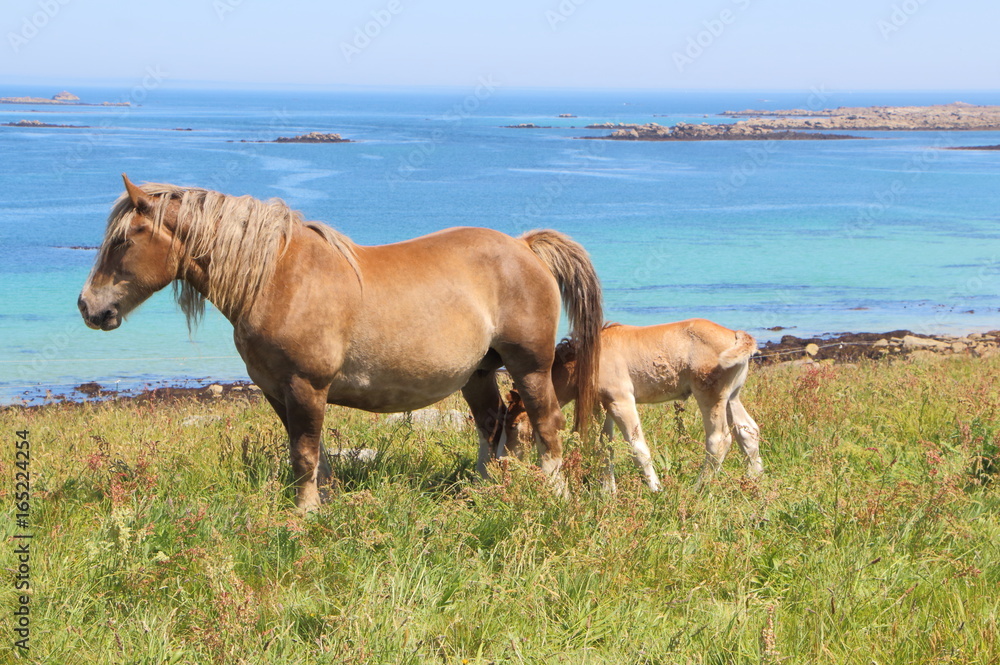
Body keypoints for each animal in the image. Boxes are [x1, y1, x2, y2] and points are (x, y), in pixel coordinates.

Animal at [504, 320, 760, 490]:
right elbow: (605, 447)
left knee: (719, 439)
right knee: (748, 431)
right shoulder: (603, 404)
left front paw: (656, 489)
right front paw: (607, 493)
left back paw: (699, 488)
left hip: (710, 396)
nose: (506, 460)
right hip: (732, 397)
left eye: (514, 425)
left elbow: (637, 446)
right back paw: (755, 480)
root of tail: (735, 334)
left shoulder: (621, 400)